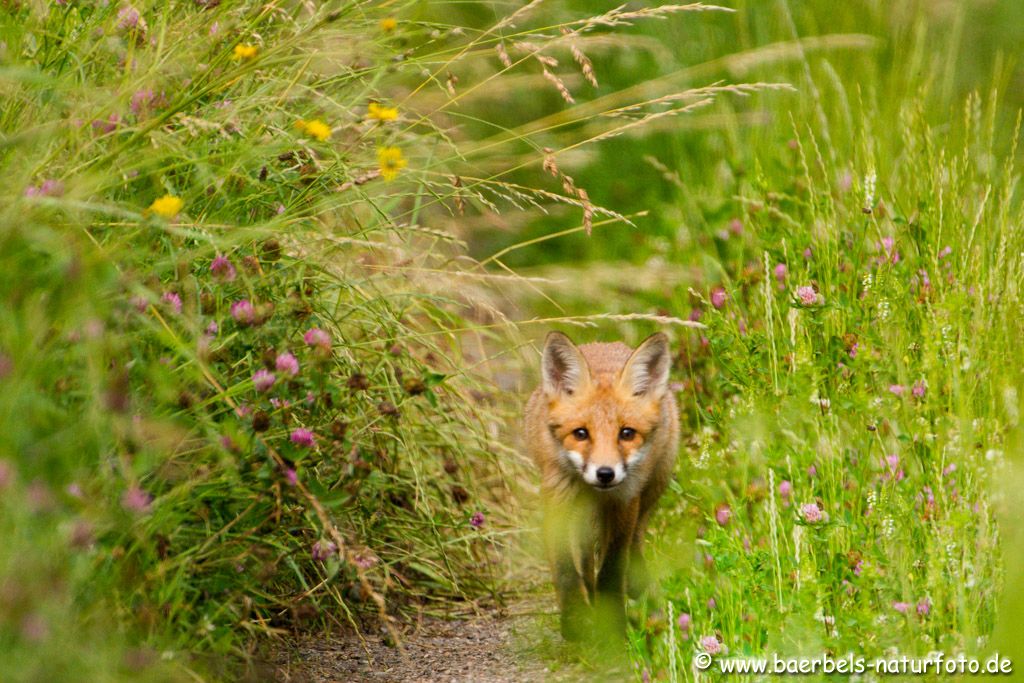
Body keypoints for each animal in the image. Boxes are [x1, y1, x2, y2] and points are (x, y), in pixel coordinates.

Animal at [528, 331, 679, 643]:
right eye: (581, 433)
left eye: (627, 433)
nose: (605, 474)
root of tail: (605, 344)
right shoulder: (557, 496)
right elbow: (565, 569)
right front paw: (575, 621)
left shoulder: (624, 499)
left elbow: (612, 567)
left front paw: (613, 625)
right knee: (585, 556)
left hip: (654, 485)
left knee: (636, 538)